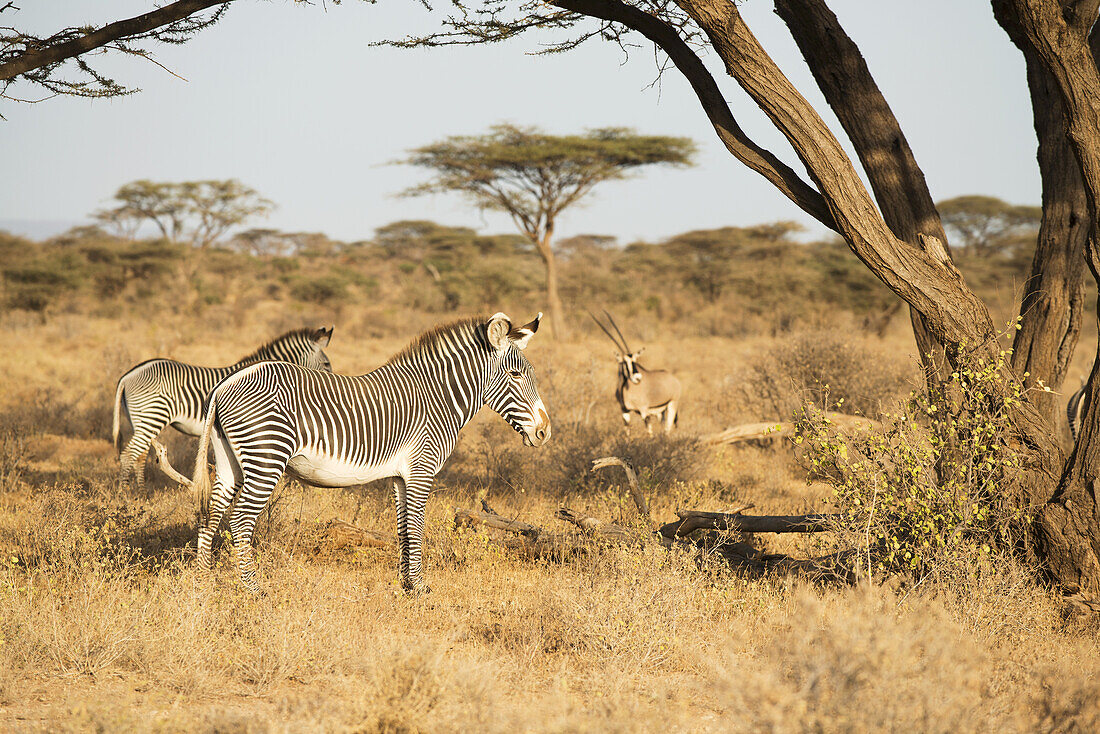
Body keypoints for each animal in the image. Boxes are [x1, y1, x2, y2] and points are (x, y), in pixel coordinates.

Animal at [114, 325, 334, 490]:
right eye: (326, 363)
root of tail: (128, 375)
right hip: (152, 416)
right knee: (129, 455)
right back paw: (125, 495)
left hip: (141, 420)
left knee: (140, 456)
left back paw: (140, 492)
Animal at [194, 312, 554, 594]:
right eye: (515, 375)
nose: (544, 432)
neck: (438, 398)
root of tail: (227, 383)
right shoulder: (422, 469)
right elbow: (417, 527)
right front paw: (420, 588)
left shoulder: (400, 476)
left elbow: (403, 529)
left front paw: (406, 585)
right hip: (266, 456)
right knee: (240, 520)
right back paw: (253, 589)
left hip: (229, 460)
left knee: (211, 513)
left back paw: (202, 581)